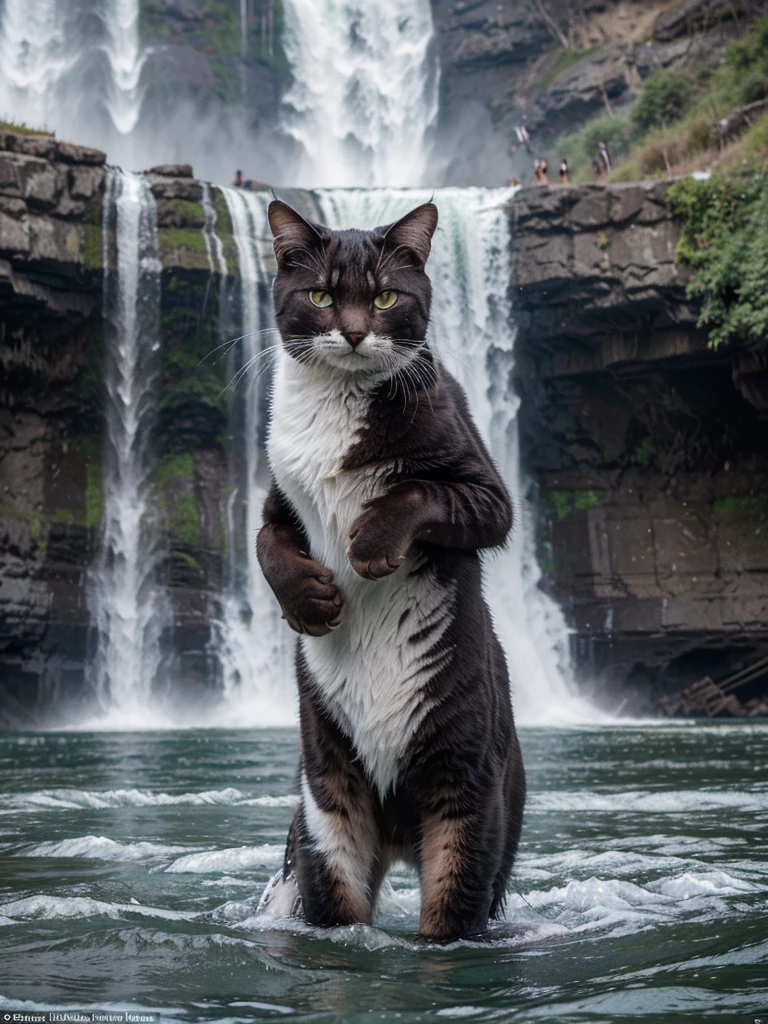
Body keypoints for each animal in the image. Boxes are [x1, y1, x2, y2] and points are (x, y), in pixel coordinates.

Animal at [256, 195, 528, 937]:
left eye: (384, 296)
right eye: (321, 295)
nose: (353, 334)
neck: (336, 404)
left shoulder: (485, 490)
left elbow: (416, 491)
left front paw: (367, 546)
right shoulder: (278, 493)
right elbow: (267, 543)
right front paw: (311, 602)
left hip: (466, 787)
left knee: (454, 907)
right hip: (330, 796)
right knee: (335, 898)